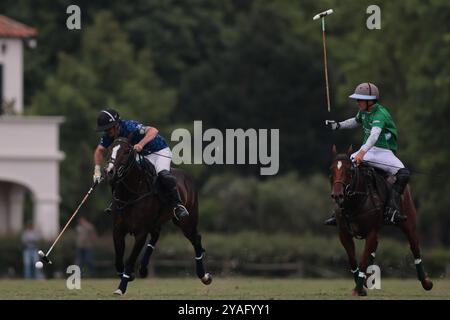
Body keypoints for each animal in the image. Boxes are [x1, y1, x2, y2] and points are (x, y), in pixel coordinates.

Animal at [104, 138, 212, 296]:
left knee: (196, 239)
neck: (131, 193)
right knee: (156, 235)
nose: (110, 172)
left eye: (127, 151)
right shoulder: (117, 230)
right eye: (110, 149)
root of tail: (187, 177)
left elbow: (130, 260)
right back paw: (143, 268)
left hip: (186, 221)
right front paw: (129, 276)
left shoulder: (141, 233)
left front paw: (121, 288)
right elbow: (118, 260)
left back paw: (204, 276)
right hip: (157, 221)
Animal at [330, 145, 432, 296]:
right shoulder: (343, 233)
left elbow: (363, 260)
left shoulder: (371, 231)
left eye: (349, 170)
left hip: (408, 222)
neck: (355, 202)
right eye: (331, 170)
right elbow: (353, 260)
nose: (337, 195)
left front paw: (358, 290)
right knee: (374, 248)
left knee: (415, 246)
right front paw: (360, 286)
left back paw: (426, 282)